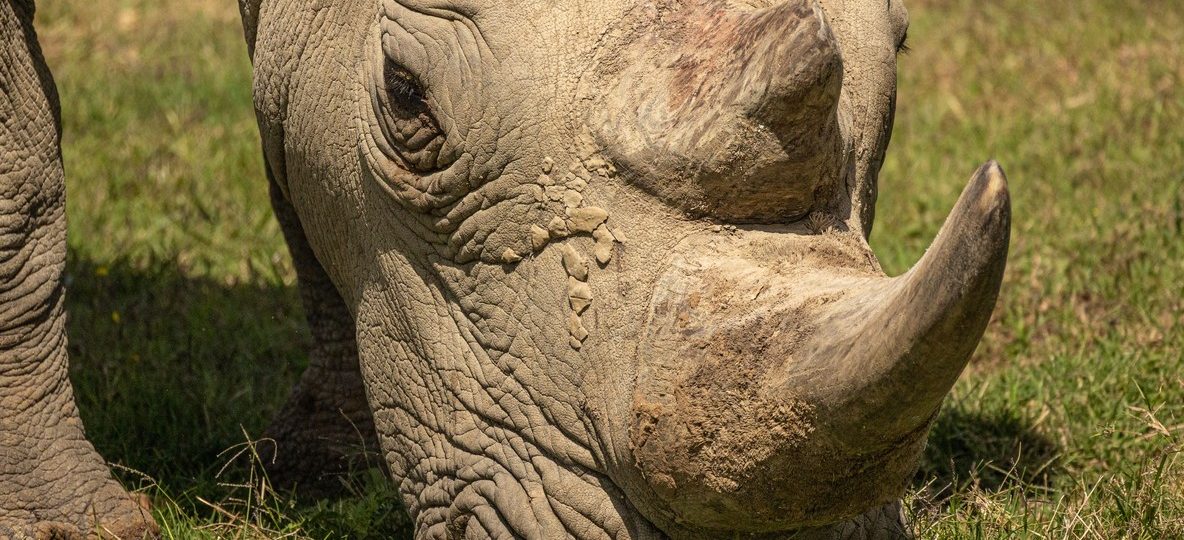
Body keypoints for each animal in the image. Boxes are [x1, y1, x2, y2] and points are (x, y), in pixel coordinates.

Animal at [0, 0, 1010, 537]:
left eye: (904, 44)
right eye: (406, 97)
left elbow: (290, 140)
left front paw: (327, 466)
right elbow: (18, 180)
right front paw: (64, 528)